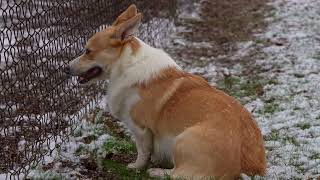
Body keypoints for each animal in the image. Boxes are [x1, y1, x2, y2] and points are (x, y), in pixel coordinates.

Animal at [66, 4, 266, 180]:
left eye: (88, 51)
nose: (66, 68)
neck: (125, 63)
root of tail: (246, 170)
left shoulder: (141, 129)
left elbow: (142, 152)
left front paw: (137, 167)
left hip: (183, 139)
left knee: (180, 175)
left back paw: (157, 172)